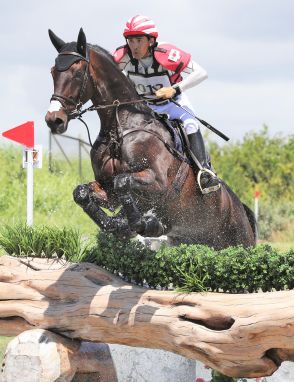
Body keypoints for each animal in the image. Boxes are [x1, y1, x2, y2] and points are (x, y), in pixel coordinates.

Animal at [44, 28, 256, 249]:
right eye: (53, 72)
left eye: (77, 73)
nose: (54, 120)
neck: (121, 129)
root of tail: (240, 207)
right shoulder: (108, 190)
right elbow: (82, 193)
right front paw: (117, 224)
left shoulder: (157, 182)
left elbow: (123, 181)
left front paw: (137, 223)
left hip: (240, 240)